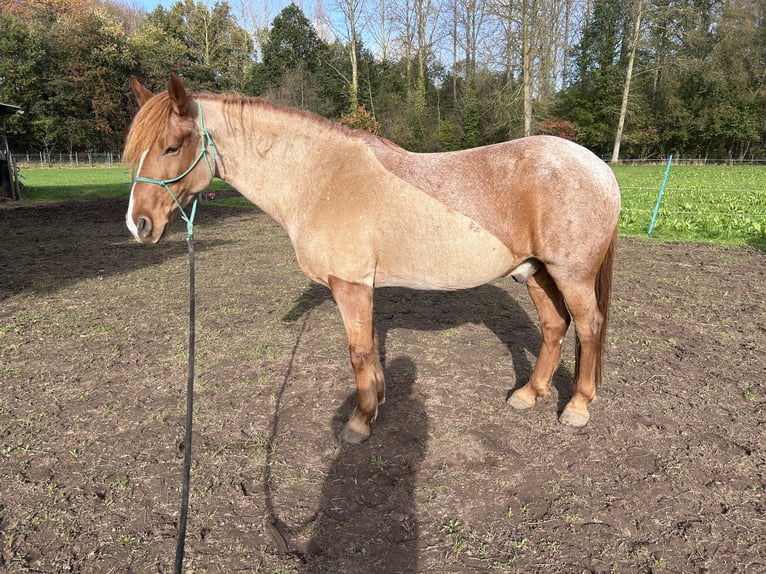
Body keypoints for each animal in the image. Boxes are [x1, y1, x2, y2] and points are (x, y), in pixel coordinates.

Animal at [123, 76, 620, 446]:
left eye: (172, 147)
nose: (138, 224)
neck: (321, 179)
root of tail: (599, 167)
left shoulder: (350, 284)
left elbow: (359, 351)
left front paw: (359, 422)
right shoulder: (364, 285)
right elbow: (374, 347)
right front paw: (378, 401)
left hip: (572, 275)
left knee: (589, 326)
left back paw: (577, 407)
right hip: (536, 272)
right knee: (555, 326)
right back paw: (529, 394)